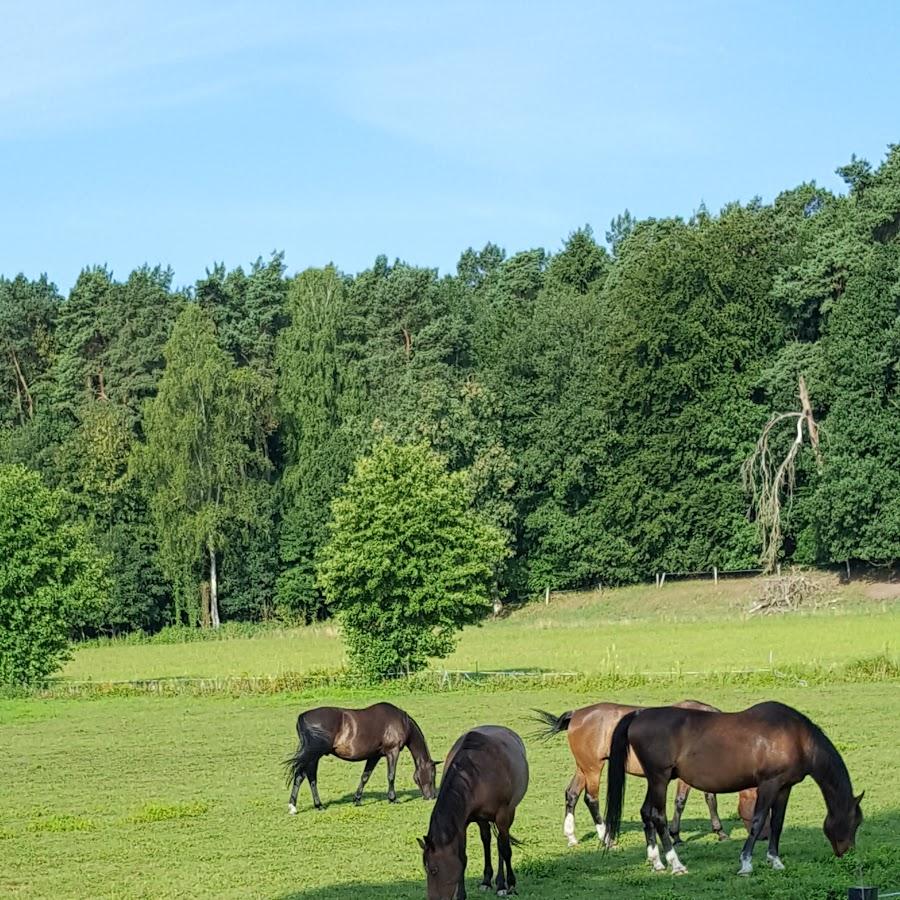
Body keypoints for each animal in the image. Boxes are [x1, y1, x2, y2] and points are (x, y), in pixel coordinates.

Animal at [282, 704, 436, 816]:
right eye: (433, 775)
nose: (432, 796)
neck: (401, 722)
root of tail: (302, 717)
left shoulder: (374, 756)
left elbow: (365, 777)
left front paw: (357, 799)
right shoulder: (393, 751)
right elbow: (391, 775)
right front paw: (393, 798)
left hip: (310, 756)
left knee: (300, 777)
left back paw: (294, 806)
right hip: (313, 756)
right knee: (310, 778)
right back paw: (317, 805)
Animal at [420, 724, 528, 900]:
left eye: (434, 870)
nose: (433, 899)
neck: (475, 774)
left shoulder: (502, 815)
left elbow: (505, 850)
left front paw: (509, 885)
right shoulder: (461, 823)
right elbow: (462, 858)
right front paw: (461, 895)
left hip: (508, 814)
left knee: (500, 843)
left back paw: (501, 883)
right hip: (482, 819)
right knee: (486, 840)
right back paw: (486, 881)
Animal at [536, 700, 740, 848]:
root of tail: (577, 714)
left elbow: (710, 798)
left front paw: (720, 832)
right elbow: (681, 802)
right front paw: (676, 835)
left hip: (583, 767)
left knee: (571, 794)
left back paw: (572, 837)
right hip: (593, 768)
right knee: (591, 799)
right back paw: (606, 838)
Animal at [604, 700, 864, 876]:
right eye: (855, 822)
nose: (848, 852)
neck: (796, 737)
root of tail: (639, 714)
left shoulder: (784, 787)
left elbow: (777, 823)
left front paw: (775, 861)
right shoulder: (769, 784)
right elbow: (758, 822)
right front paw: (746, 863)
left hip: (654, 780)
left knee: (646, 812)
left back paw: (656, 861)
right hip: (660, 778)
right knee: (658, 816)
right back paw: (676, 864)